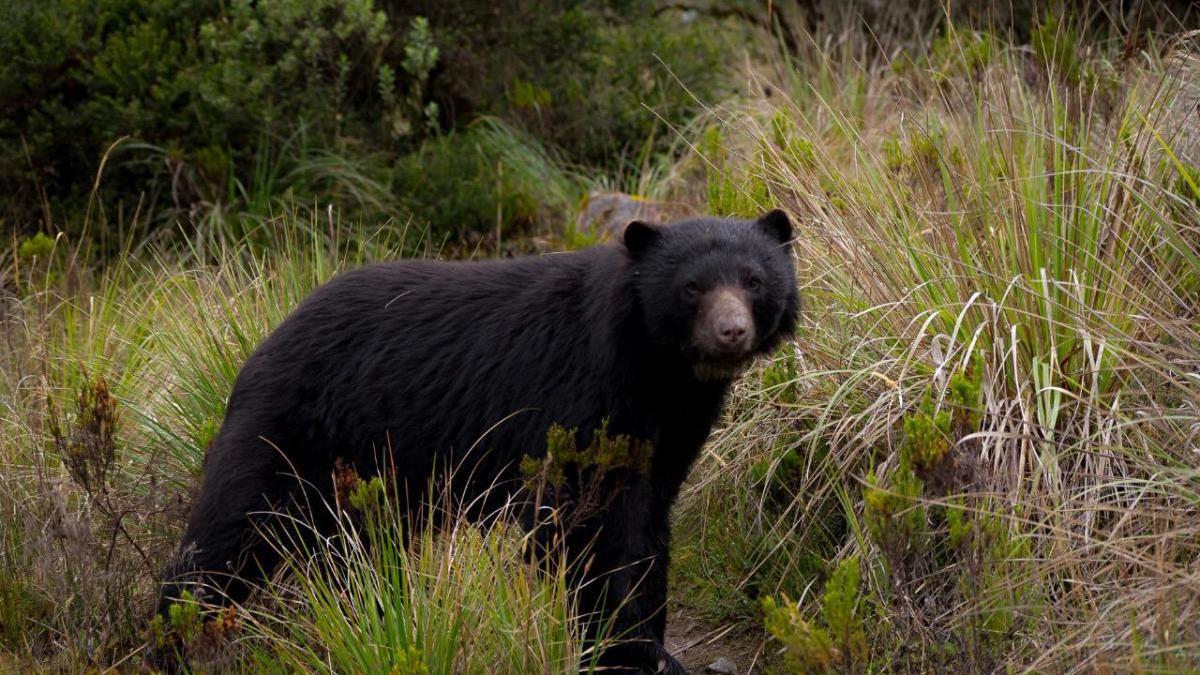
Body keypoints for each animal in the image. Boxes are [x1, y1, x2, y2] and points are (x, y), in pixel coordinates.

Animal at [157, 208, 796, 667]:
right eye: (692, 287)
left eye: (754, 280)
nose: (731, 332)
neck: (661, 373)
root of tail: (263, 346)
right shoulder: (578, 400)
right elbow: (587, 529)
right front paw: (622, 649)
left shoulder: (671, 432)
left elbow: (646, 526)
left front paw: (652, 647)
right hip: (286, 435)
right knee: (227, 538)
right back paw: (175, 643)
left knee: (354, 559)